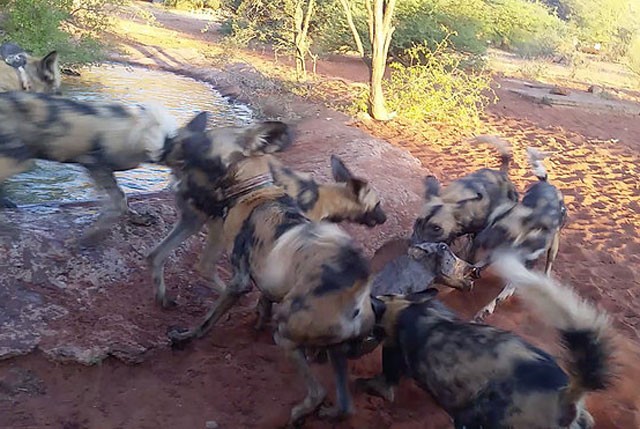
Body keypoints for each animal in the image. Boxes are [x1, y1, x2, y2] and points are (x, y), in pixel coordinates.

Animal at [0, 90, 178, 244]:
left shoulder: (102, 168)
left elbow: (122, 199)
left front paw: (137, 218)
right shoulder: (95, 163)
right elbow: (119, 199)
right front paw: (95, 232)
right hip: (17, 158)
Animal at [155, 112, 376, 422]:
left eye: (206, 143)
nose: (171, 145)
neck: (255, 189)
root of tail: (356, 292)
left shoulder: (239, 282)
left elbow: (205, 322)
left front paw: (186, 337)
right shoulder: (266, 281)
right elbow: (263, 302)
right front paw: (257, 321)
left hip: (286, 335)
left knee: (318, 391)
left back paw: (299, 414)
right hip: (336, 350)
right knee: (345, 405)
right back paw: (328, 413)